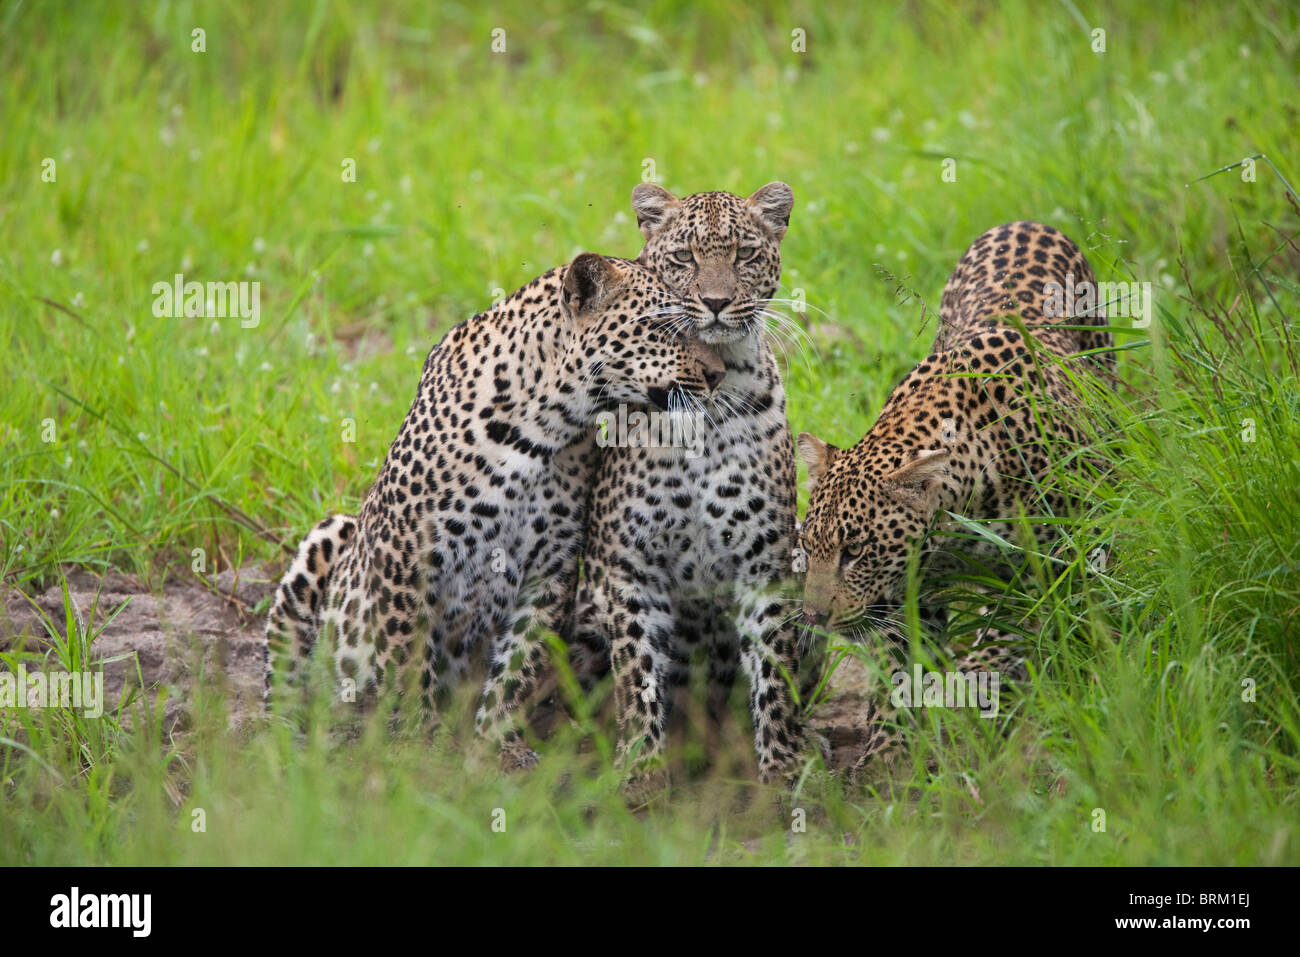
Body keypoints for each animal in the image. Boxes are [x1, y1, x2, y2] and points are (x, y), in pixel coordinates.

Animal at [263, 248, 728, 769]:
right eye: (664, 327)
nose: (719, 375)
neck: (544, 426)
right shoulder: (403, 558)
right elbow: (405, 663)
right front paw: (415, 746)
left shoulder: (550, 570)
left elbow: (518, 666)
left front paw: (497, 748)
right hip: (327, 541)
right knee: (285, 675)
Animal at [564, 183, 816, 795]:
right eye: (684, 258)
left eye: (745, 255)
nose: (717, 302)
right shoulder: (629, 567)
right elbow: (638, 676)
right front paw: (641, 775)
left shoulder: (766, 563)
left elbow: (775, 675)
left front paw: (784, 772)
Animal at [795, 222, 1112, 780]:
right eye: (809, 547)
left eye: (855, 551)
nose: (813, 618)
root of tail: (1027, 222)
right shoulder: (913, 600)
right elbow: (901, 676)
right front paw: (886, 763)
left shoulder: (1054, 562)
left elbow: (1018, 632)